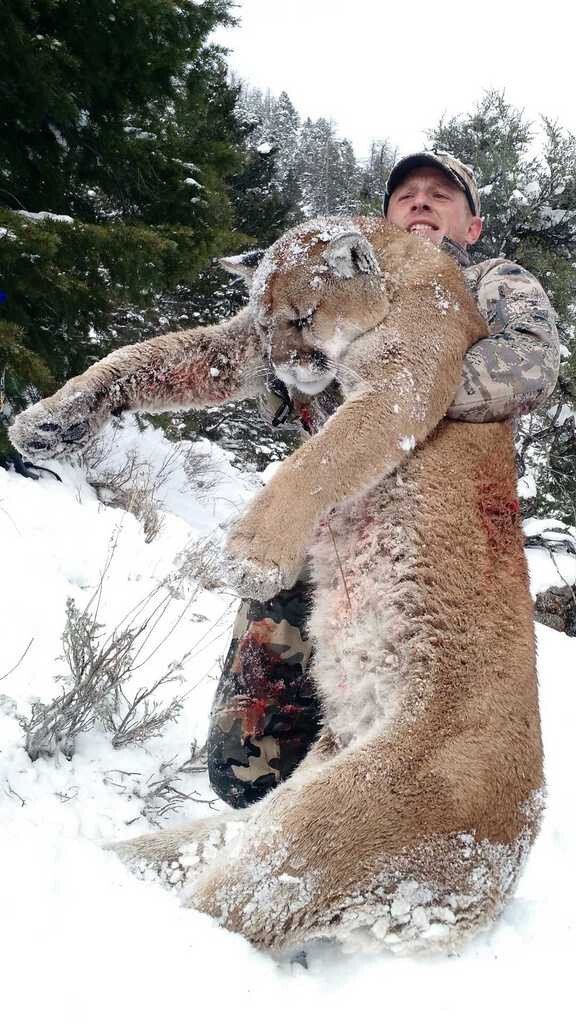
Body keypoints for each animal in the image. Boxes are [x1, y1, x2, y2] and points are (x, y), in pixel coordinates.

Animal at [10, 217, 543, 956]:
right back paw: (99, 864)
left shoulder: (404, 383)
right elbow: (146, 357)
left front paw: (254, 554)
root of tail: (503, 869)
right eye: (267, 325)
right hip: (283, 804)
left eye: (305, 316)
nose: (288, 367)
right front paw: (53, 418)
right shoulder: (236, 348)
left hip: (343, 817)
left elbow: (320, 460)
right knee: (207, 850)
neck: (403, 266)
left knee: (231, 911)